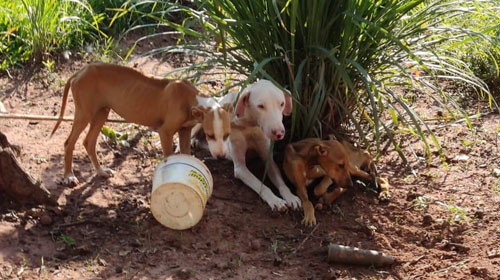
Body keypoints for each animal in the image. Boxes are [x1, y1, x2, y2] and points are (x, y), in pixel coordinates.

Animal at [50, 63, 230, 186]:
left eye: (227, 135)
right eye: (209, 135)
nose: (221, 157)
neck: (190, 99)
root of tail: (80, 71)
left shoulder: (185, 130)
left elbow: (186, 155)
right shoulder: (165, 132)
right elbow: (169, 157)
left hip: (102, 112)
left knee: (89, 142)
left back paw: (101, 171)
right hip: (84, 114)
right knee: (69, 143)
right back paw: (69, 176)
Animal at [212, 80, 298, 211]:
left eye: (282, 104)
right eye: (261, 106)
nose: (279, 133)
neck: (249, 125)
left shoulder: (269, 159)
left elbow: (281, 183)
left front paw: (291, 197)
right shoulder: (240, 168)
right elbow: (261, 186)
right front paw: (275, 200)